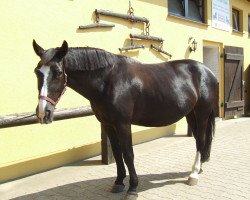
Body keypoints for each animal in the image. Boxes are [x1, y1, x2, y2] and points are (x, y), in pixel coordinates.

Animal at [32, 40, 217, 197]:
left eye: (58, 73)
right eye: (37, 72)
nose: (42, 113)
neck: (109, 80)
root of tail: (207, 71)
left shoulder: (123, 124)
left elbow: (128, 154)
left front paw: (133, 187)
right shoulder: (108, 124)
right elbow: (117, 152)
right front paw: (119, 182)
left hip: (202, 113)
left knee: (201, 140)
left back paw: (193, 174)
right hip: (190, 114)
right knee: (199, 140)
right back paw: (198, 168)